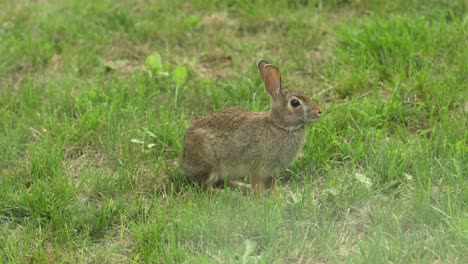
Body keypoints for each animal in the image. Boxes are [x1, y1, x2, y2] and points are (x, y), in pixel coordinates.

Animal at [183, 59, 322, 192]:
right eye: (295, 103)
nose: (319, 111)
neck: (280, 126)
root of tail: (184, 156)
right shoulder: (257, 167)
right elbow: (257, 186)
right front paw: (261, 199)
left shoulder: (272, 172)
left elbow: (273, 186)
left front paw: (278, 195)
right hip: (209, 163)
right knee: (205, 187)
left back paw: (242, 186)